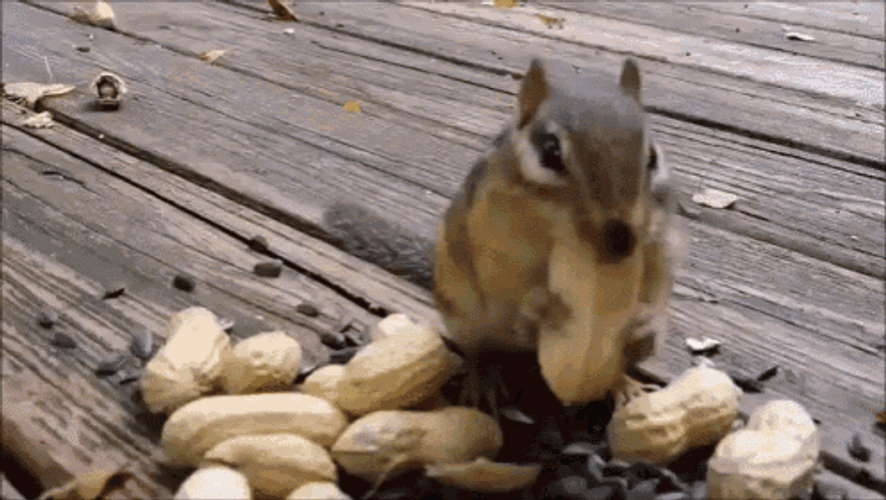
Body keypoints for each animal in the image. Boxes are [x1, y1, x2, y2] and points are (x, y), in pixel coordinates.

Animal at [325, 57, 679, 410]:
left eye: (652, 156)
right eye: (550, 152)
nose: (621, 241)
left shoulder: (660, 241)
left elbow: (658, 286)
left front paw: (646, 325)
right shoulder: (493, 239)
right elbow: (505, 285)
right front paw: (539, 307)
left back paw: (623, 383)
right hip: (463, 310)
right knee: (478, 346)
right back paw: (483, 376)